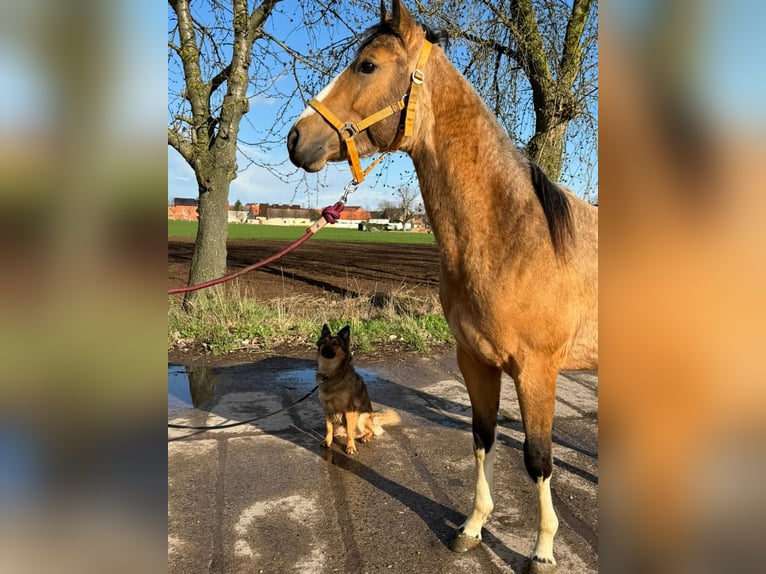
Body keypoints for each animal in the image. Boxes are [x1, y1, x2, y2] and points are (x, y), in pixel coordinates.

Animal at [316, 324, 402, 454]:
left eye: (336, 343)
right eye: (324, 342)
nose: (324, 350)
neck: (332, 374)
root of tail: (373, 417)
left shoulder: (349, 409)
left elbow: (350, 432)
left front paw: (350, 447)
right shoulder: (327, 407)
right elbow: (328, 428)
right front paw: (327, 441)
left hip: (361, 417)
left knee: (369, 431)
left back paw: (365, 437)